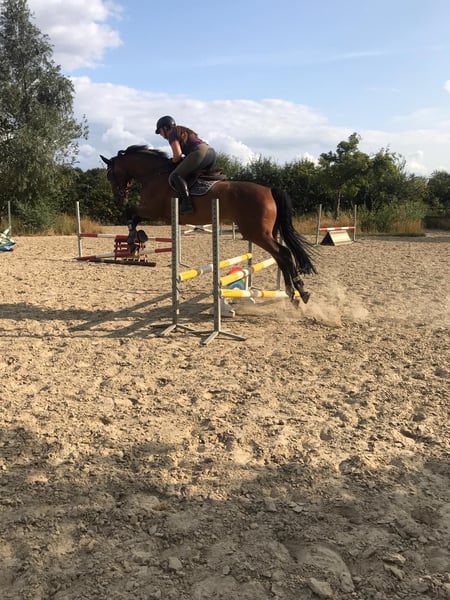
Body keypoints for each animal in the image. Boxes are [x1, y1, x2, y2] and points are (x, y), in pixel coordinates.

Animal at [100, 145, 317, 303]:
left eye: (110, 175)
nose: (119, 199)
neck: (154, 174)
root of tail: (269, 190)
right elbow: (133, 216)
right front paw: (136, 239)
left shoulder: (154, 210)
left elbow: (131, 214)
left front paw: (132, 240)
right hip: (263, 233)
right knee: (280, 255)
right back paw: (293, 292)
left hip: (256, 233)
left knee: (283, 253)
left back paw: (299, 291)